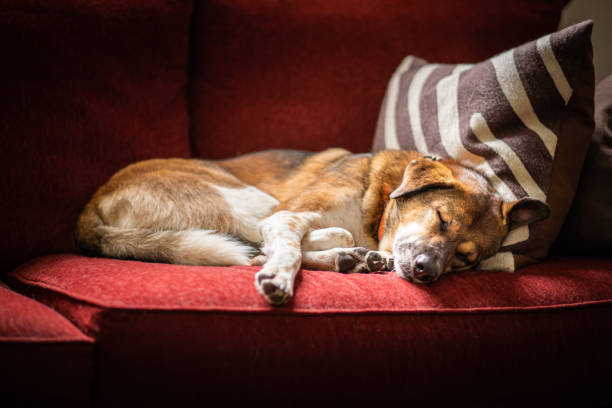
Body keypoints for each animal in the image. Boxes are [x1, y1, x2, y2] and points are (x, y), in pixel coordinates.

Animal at [74, 148, 548, 304]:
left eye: (465, 261)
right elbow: (289, 247)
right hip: (246, 198)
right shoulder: (285, 213)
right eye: (440, 217)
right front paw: (282, 277)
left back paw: (351, 259)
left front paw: (359, 255)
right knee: (254, 250)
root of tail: (90, 209)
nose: (425, 273)